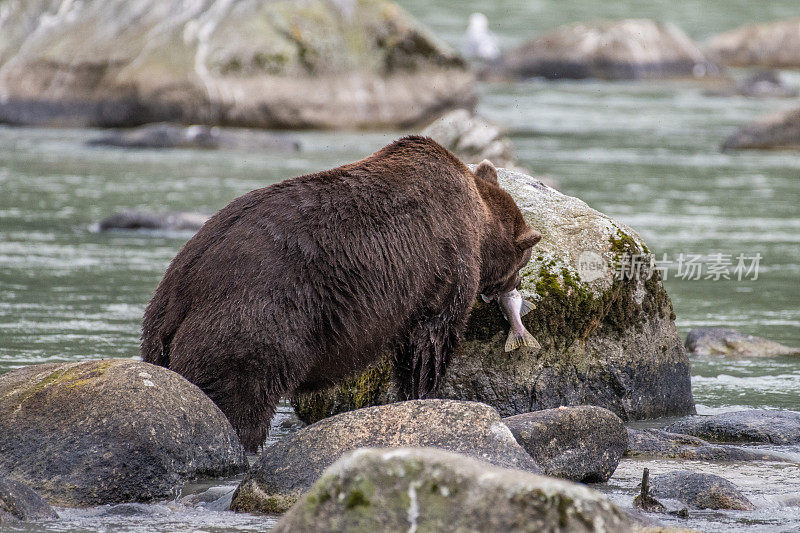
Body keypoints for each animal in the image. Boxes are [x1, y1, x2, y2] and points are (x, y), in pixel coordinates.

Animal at [142, 135, 544, 450]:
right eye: (523, 260)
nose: (514, 287)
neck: (479, 222)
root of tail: (181, 290)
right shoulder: (444, 264)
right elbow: (430, 341)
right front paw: (422, 392)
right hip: (253, 318)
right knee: (237, 397)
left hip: (160, 326)